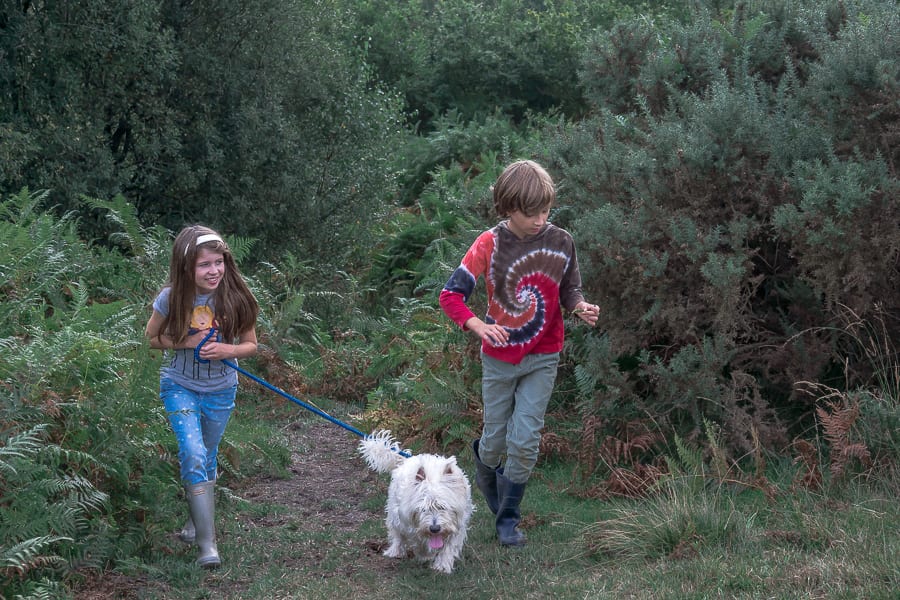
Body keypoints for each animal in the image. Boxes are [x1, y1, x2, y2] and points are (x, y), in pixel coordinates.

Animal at [358, 428, 474, 576]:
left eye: (442, 507)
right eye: (423, 509)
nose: (434, 529)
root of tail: (408, 459)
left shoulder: (458, 524)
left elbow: (449, 546)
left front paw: (442, 566)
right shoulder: (408, 522)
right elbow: (418, 539)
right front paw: (425, 555)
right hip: (394, 514)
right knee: (396, 534)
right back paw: (395, 551)